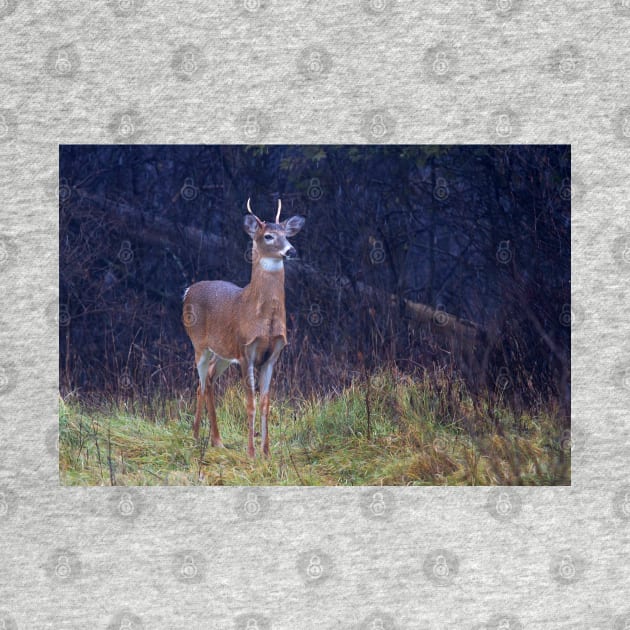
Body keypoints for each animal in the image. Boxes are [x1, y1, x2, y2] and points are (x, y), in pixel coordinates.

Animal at [183, 201, 306, 460]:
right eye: (268, 236)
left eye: (286, 234)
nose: (291, 251)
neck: (263, 319)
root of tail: (188, 290)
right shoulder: (246, 351)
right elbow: (250, 403)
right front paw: (251, 452)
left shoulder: (273, 354)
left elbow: (266, 403)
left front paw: (266, 452)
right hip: (199, 344)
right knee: (201, 383)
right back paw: (197, 436)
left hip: (223, 353)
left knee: (208, 380)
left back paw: (217, 440)